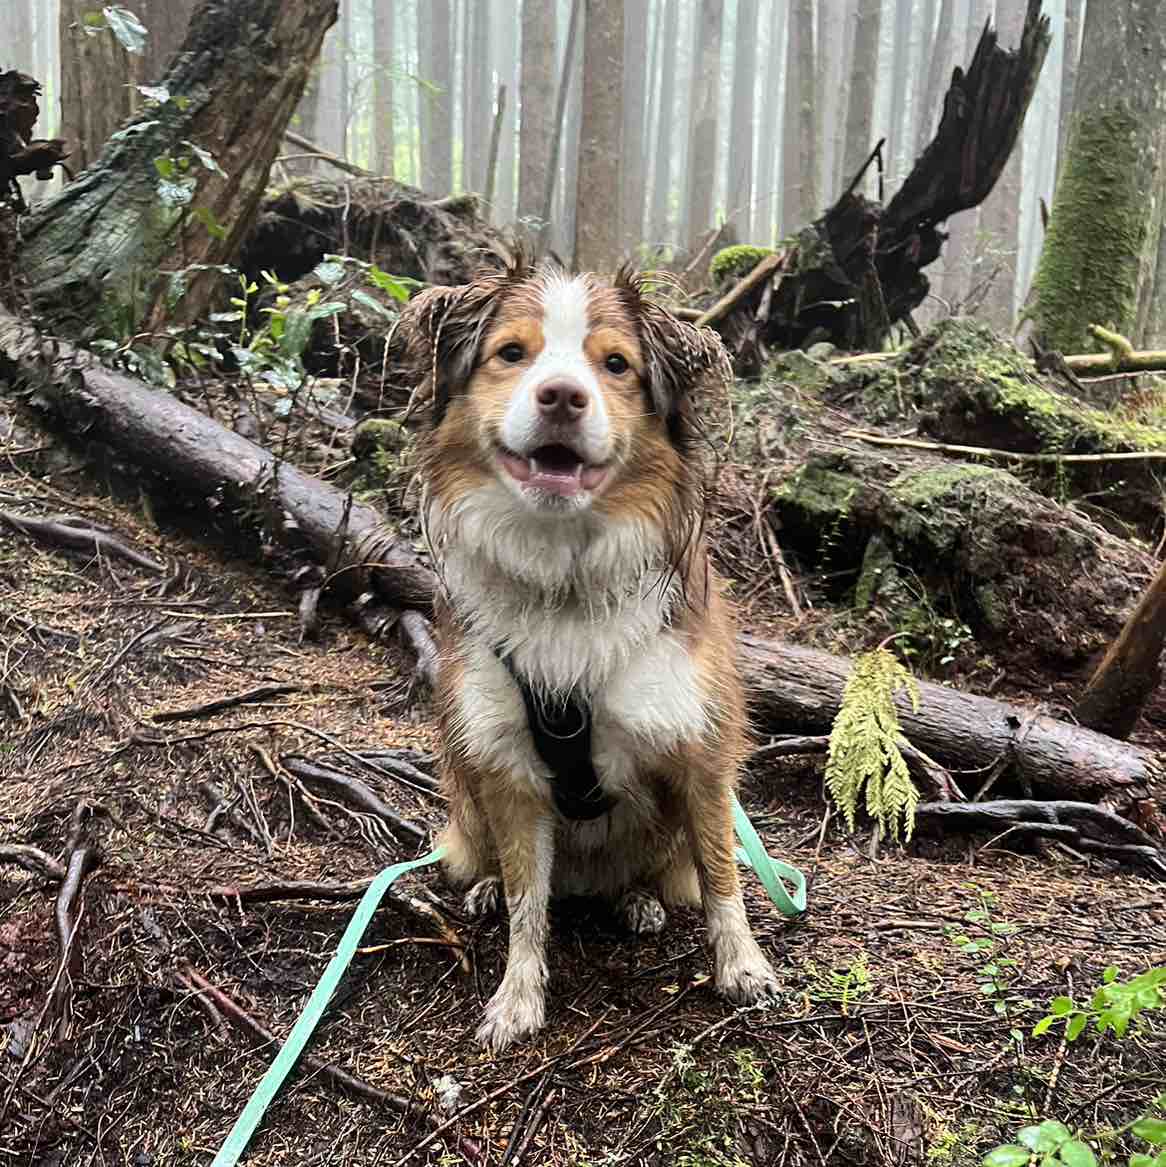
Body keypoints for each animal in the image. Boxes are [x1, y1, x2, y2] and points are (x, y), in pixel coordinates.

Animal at [400, 255, 779, 1051]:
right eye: (512, 353)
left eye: (615, 365)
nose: (563, 396)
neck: (565, 583)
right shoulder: (506, 764)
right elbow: (527, 903)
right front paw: (517, 997)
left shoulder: (701, 748)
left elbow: (723, 876)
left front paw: (743, 967)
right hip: (466, 796)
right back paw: (489, 887)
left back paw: (637, 899)